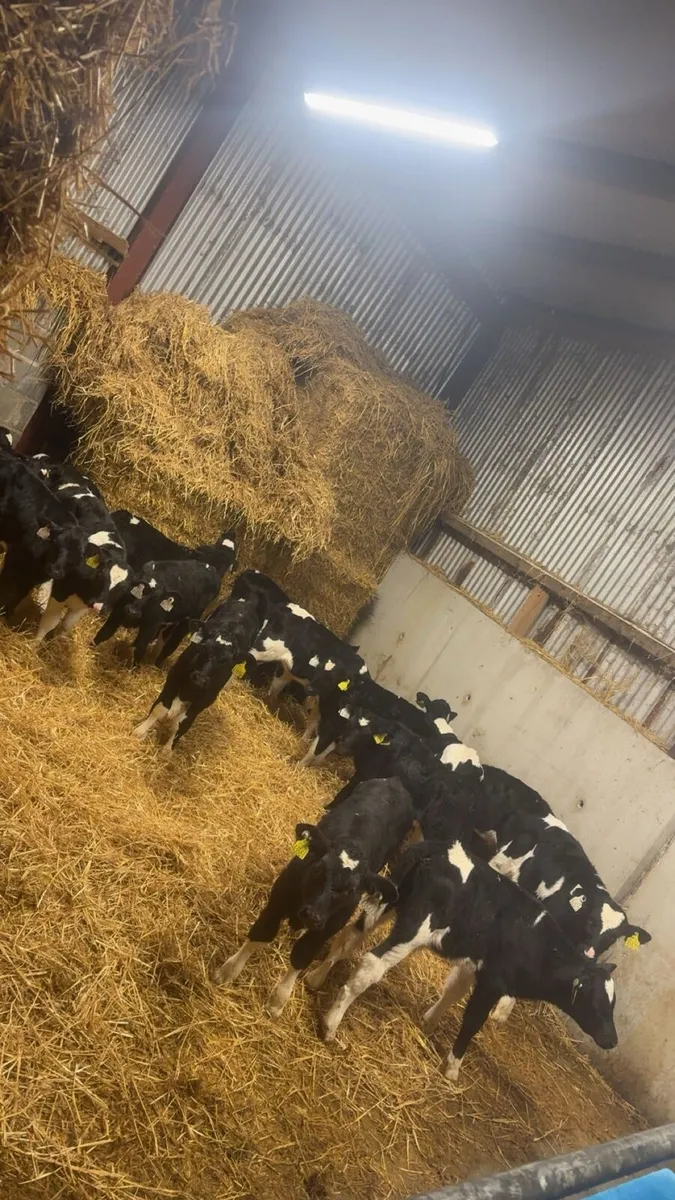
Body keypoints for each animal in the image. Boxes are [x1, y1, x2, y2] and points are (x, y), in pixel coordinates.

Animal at [132, 590, 265, 755]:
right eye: (203, 648)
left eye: (227, 662)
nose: (200, 678)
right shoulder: (173, 679)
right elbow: (160, 708)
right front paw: (140, 731)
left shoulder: (204, 700)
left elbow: (183, 723)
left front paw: (167, 750)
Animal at [210, 778, 414, 1016]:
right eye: (318, 869)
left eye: (351, 890)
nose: (312, 915)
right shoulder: (278, 899)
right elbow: (262, 933)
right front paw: (228, 971)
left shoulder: (329, 926)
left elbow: (301, 955)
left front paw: (278, 1000)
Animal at [319, 838, 618, 1084]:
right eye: (595, 1000)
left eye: (612, 1003)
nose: (612, 1040)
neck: (539, 946)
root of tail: (433, 849)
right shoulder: (494, 982)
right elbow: (473, 1021)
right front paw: (453, 1067)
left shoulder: (474, 966)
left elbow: (453, 991)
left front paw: (428, 1023)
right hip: (414, 928)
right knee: (371, 965)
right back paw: (330, 1024)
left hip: (389, 902)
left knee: (350, 935)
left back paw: (316, 978)